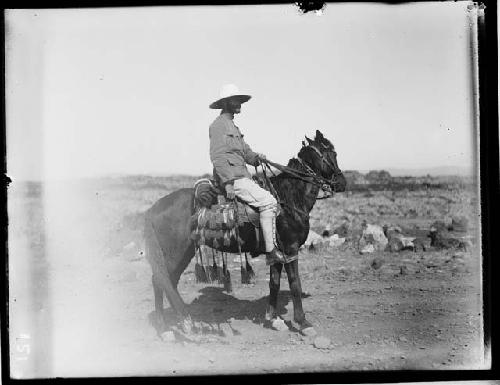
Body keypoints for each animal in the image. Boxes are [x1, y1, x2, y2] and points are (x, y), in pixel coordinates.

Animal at [143, 129, 346, 336]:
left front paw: (273, 319)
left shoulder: (277, 253)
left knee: (169, 281)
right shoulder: (290, 250)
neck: (288, 199)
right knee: (159, 280)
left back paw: (179, 322)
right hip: (174, 254)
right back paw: (166, 328)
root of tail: (153, 208)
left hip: (184, 253)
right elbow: (295, 284)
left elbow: (274, 283)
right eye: (333, 153)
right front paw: (303, 322)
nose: (341, 183)